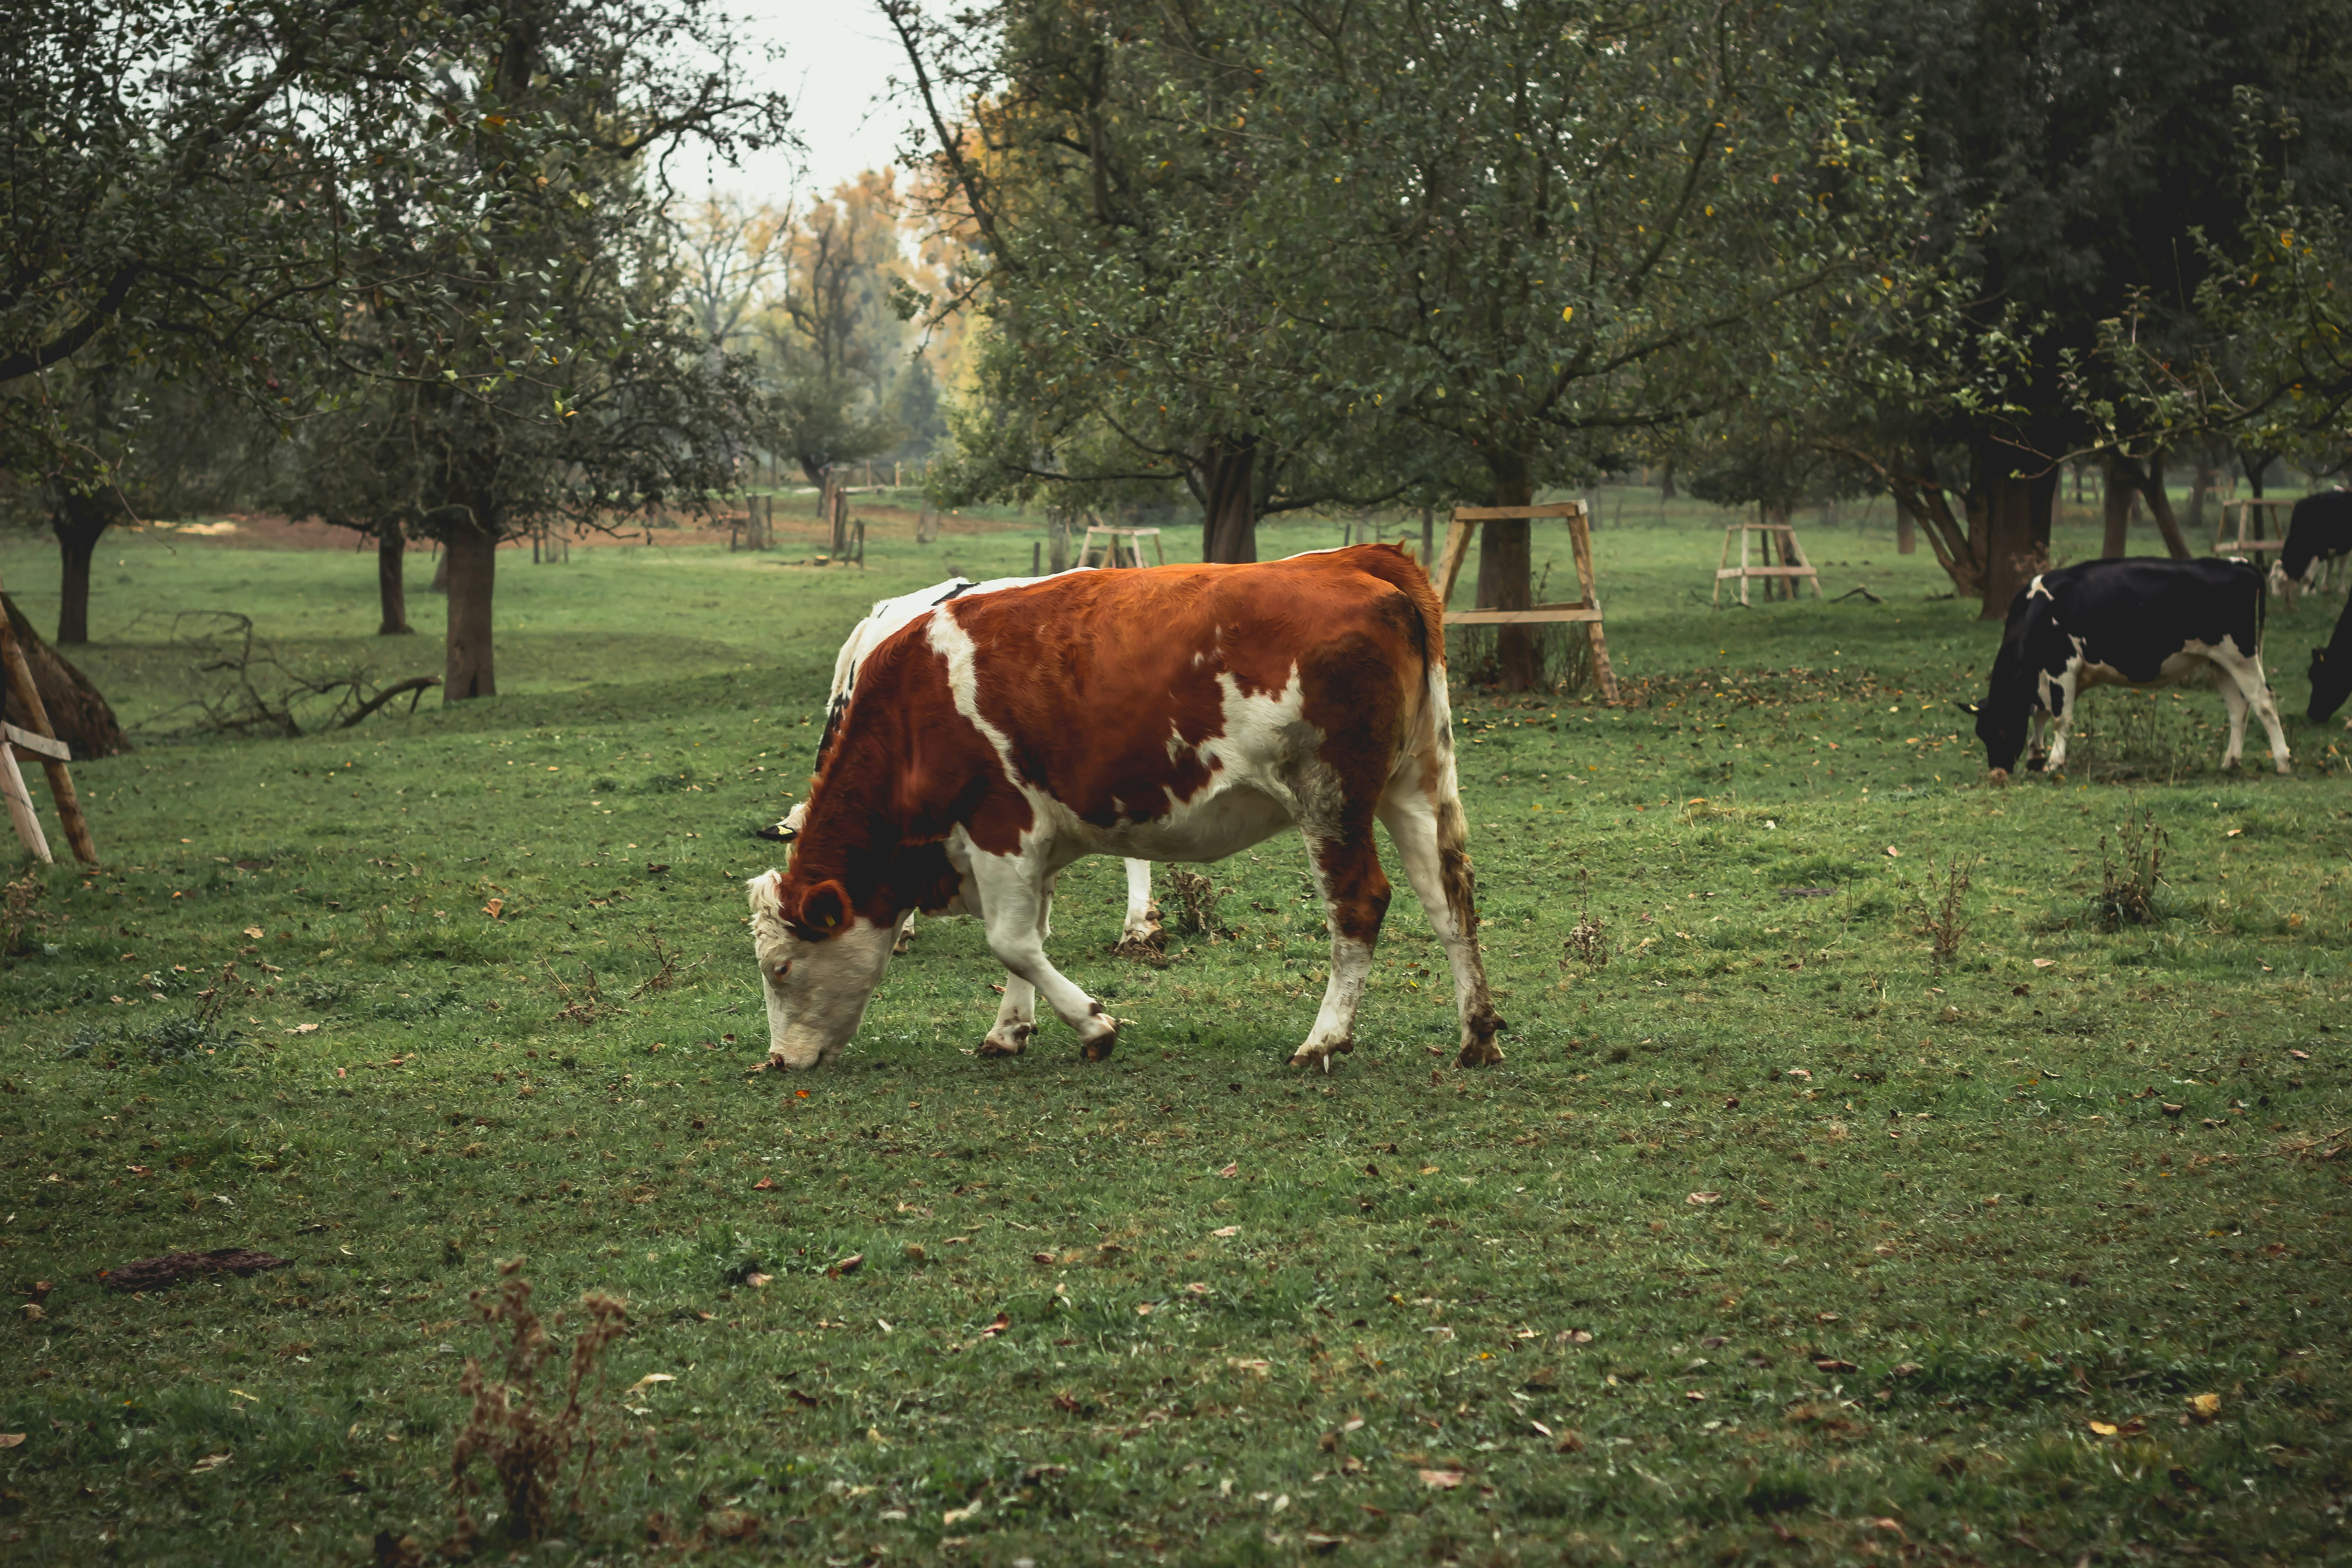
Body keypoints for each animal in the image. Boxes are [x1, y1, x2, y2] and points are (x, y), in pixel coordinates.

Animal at [1972, 558, 2291, 780]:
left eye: (2000, 730)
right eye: (1981, 734)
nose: (1998, 772)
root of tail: (2239, 564)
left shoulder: (2062, 665)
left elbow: (2061, 718)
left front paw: (2053, 763)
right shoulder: (2047, 678)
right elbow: (2040, 713)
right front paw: (2035, 757)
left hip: (2240, 655)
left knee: (2264, 701)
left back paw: (2283, 762)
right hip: (2219, 662)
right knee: (2239, 707)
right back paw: (2230, 762)